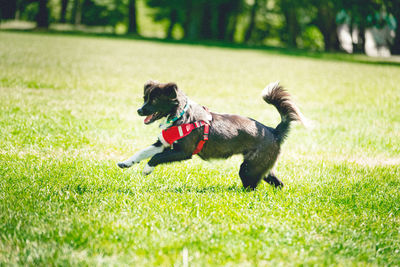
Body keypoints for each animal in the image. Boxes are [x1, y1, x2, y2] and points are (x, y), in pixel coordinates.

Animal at [119, 80, 306, 189]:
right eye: (144, 99)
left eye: (154, 100)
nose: (139, 110)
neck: (180, 116)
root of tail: (273, 131)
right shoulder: (163, 143)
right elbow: (142, 152)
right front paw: (126, 163)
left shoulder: (183, 152)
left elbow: (155, 157)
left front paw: (147, 169)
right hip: (261, 166)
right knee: (277, 182)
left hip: (249, 168)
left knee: (251, 186)